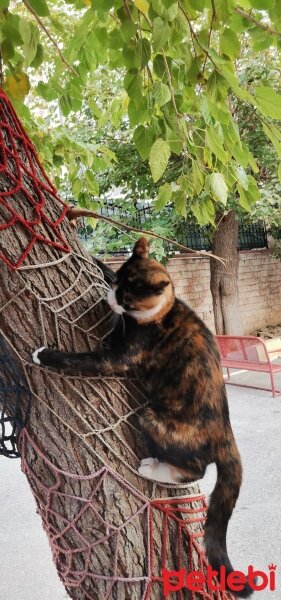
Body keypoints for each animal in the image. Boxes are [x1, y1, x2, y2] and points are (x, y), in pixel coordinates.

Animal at [32, 238, 252, 596]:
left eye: (125, 296)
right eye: (118, 283)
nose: (110, 297)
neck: (165, 307)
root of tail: (225, 432)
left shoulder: (115, 359)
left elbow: (80, 359)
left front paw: (46, 355)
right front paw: (97, 261)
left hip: (152, 418)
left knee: (196, 469)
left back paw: (155, 469)